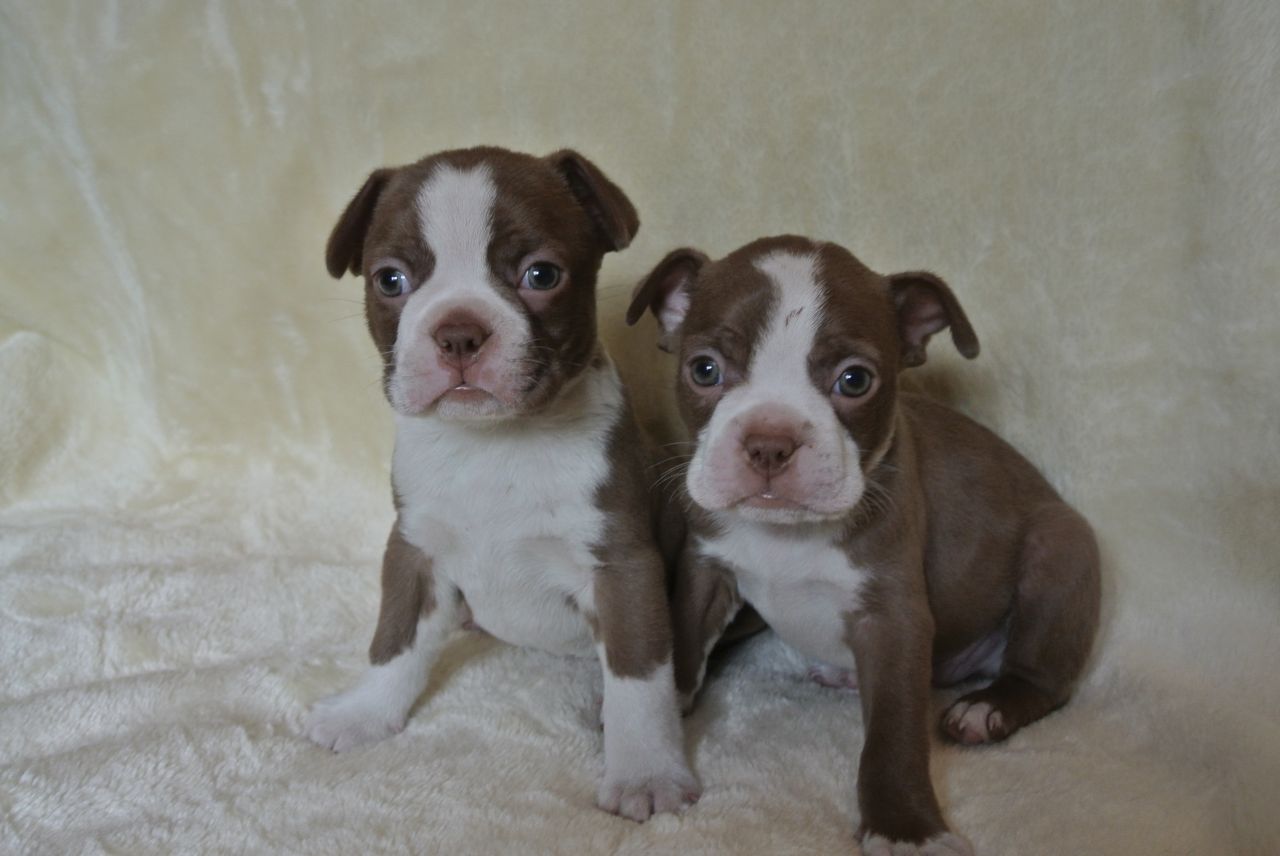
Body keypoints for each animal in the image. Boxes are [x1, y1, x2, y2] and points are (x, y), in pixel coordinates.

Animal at [302, 147, 701, 818]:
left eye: (541, 275)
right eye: (390, 281)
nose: (458, 331)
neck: (493, 444)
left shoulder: (623, 566)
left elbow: (639, 676)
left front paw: (645, 771)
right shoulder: (414, 548)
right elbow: (394, 636)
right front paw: (365, 712)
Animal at [627, 231, 1100, 849]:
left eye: (855, 380)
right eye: (703, 370)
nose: (770, 442)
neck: (786, 535)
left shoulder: (893, 617)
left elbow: (893, 736)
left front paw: (905, 829)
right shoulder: (706, 568)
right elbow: (683, 638)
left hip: (1060, 547)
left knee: (1043, 677)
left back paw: (987, 708)